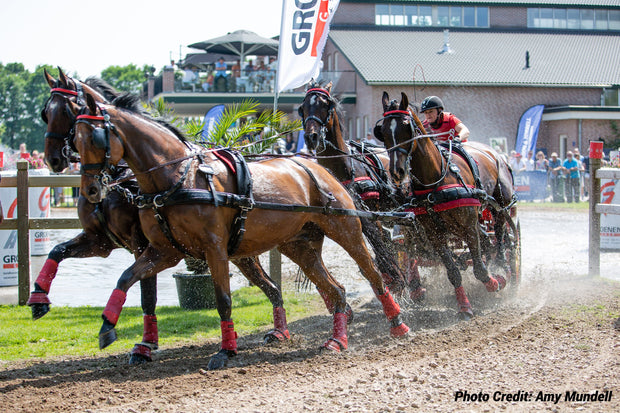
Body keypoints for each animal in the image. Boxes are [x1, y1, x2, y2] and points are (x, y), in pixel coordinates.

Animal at [32, 69, 298, 362]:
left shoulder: (142, 245)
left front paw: (146, 344)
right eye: (45, 112)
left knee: (269, 285)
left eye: (67, 109)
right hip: (241, 254)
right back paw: (279, 330)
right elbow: (57, 251)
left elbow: (146, 294)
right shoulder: (101, 241)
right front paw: (38, 299)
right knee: (271, 286)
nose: (53, 159)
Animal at [71, 91, 406, 368]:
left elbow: (223, 300)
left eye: (95, 139)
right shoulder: (164, 251)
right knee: (335, 290)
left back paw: (397, 322)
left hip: (346, 230)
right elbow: (126, 277)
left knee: (374, 274)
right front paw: (107, 326)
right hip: (298, 245)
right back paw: (337, 339)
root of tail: (318, 167)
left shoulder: (214, 249)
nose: (89, 190)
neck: (180, 177)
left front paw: (226, 349)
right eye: (76, 139)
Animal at [296, 80, 424, 300]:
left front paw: (396, 278)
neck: (343, 167)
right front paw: (393, 278)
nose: (311, 137)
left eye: (325, 104)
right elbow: (379, 242)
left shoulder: (367, 210)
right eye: (303, 107)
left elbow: (378, 243)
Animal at [372, 91, 520, 318]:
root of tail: (495, 153)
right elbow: (453, 271)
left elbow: (479, 268)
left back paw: (505, 264)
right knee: (488, 241)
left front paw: (496, 282)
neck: (436, 178)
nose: (397, 171)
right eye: (384, 131)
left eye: (406, 127)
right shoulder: (435, 234)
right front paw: (464, 306)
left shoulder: (469, 224)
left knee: (502, 232)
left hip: (501, 204)